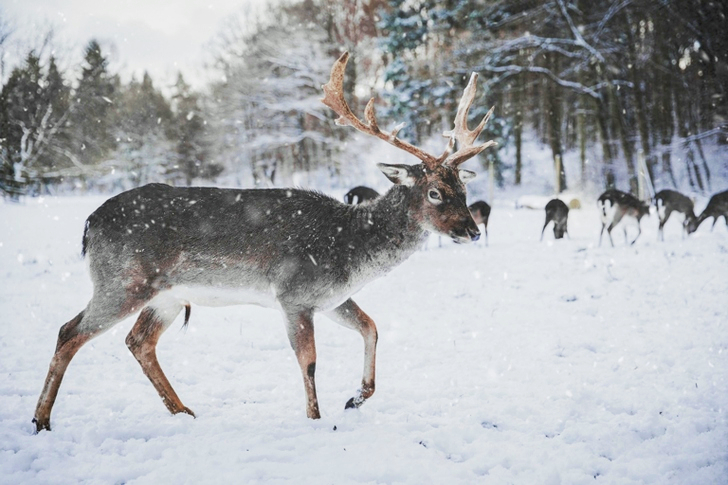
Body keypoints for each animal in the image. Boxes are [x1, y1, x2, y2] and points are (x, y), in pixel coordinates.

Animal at [32, 51, 496, 432]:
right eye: (434, 192)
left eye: (463, 187)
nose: (472, 231)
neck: (350, 250)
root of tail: (89, 224)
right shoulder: (294, 293)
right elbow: (309, 362)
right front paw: (316, 419)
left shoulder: (330, 297)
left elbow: (372, 327)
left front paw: (355, 398)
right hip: (123, 280)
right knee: (69, 331)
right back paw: (42, 420)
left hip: (166, 295)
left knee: (138, 342)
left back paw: (184, 411)